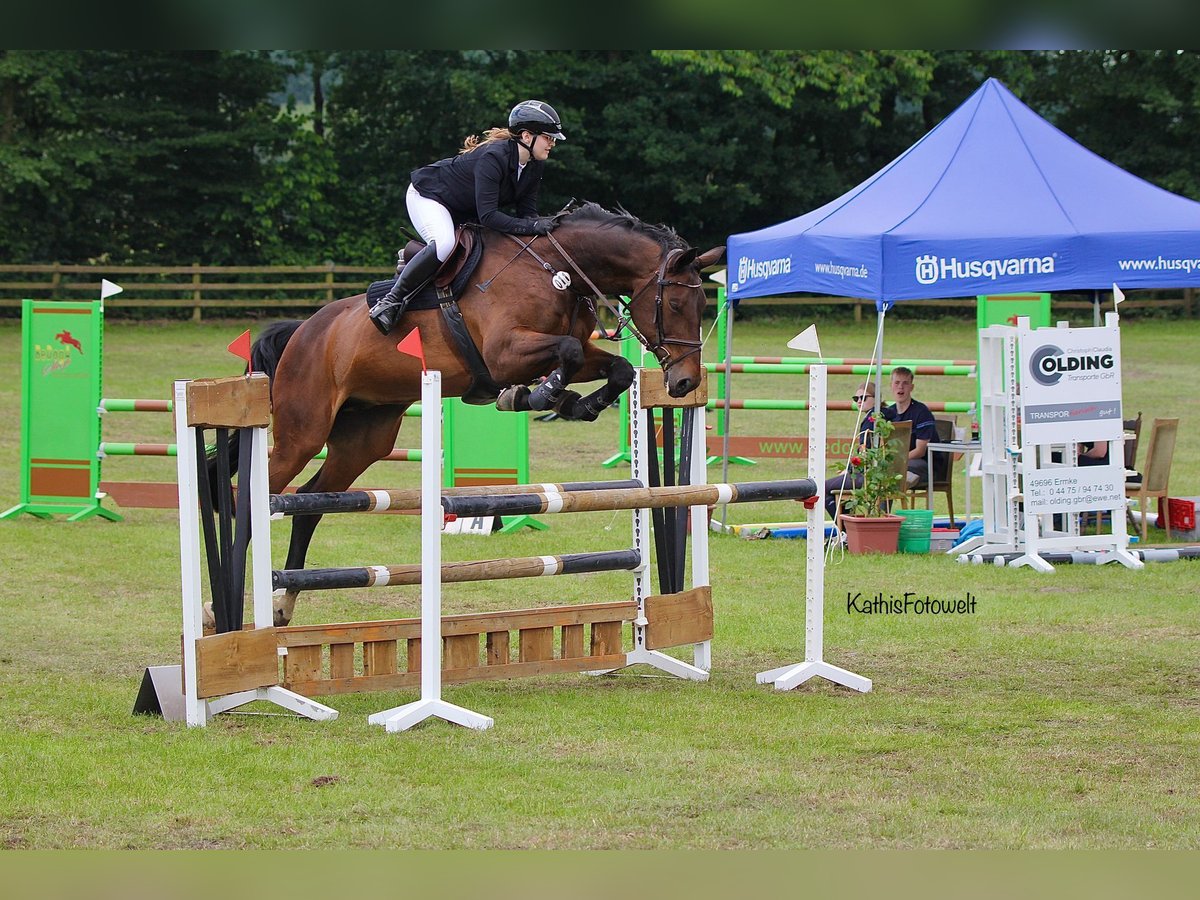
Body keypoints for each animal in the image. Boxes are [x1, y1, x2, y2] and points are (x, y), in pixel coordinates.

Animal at [234, 202, 720, 628]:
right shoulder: (505, 353)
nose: (684, 384)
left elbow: (614, 367)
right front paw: (535, 396)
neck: (555, 271)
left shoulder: (568, 352)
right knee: (256, 496)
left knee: (309, 504)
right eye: (676, 305)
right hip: (303, 434)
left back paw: (283, 605)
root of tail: (304, 330)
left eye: (702, 309)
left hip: (363, 440)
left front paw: (575, 403)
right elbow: (568, 350)